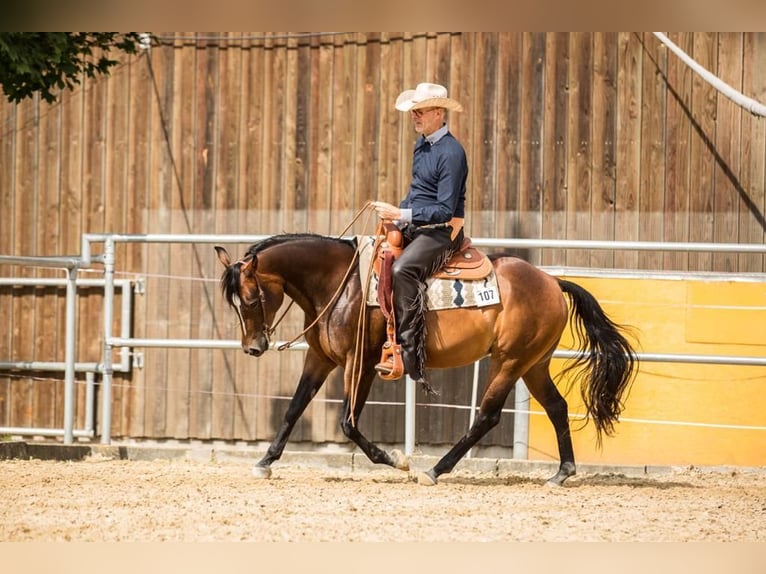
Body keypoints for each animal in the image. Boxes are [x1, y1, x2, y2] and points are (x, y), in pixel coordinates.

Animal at [213, 232, 640, 488]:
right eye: (234, 303)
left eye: (251, 298)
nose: (253, 347)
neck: (341, 283)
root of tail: (551, 281)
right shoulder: (320, 359)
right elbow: (294, 408)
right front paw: (265, 461)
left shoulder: (361, 363)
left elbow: (348, 423)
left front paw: (394, 459)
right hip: (533, 364)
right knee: (556, 407)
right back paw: (561, 473)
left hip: (509, 361)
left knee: (487, 416)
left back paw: (434, 470)